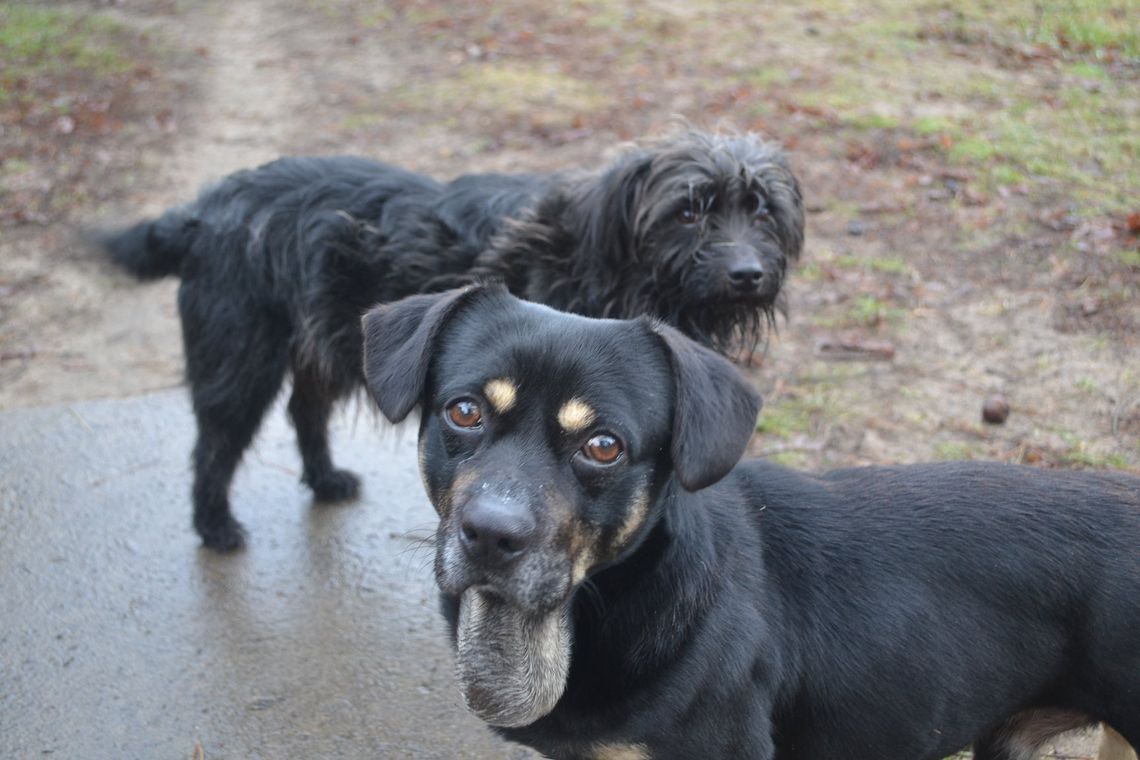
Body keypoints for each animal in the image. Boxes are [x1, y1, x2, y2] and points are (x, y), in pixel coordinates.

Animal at [102, 127, 807, 549]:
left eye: (762, 210)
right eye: (688, 210)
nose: (749, 273)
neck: (603, 258)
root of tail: (203, 209)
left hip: (324, 345)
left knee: (305, 411)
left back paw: (325, 479)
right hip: (239, 360)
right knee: (214, 445)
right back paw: (215, 525)